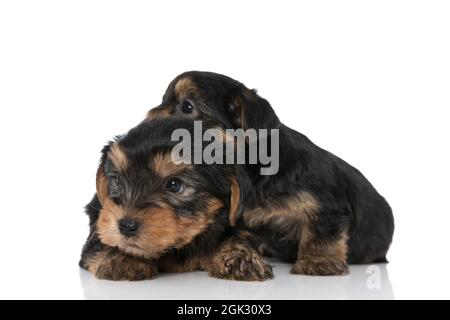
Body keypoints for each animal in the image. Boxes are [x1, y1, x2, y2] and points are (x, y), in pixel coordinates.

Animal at [79, 117, 272, 280]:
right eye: (116, 179)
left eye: (174, 185)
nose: (126, 225)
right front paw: (125, 257)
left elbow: (234, 235)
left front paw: (240, 257)